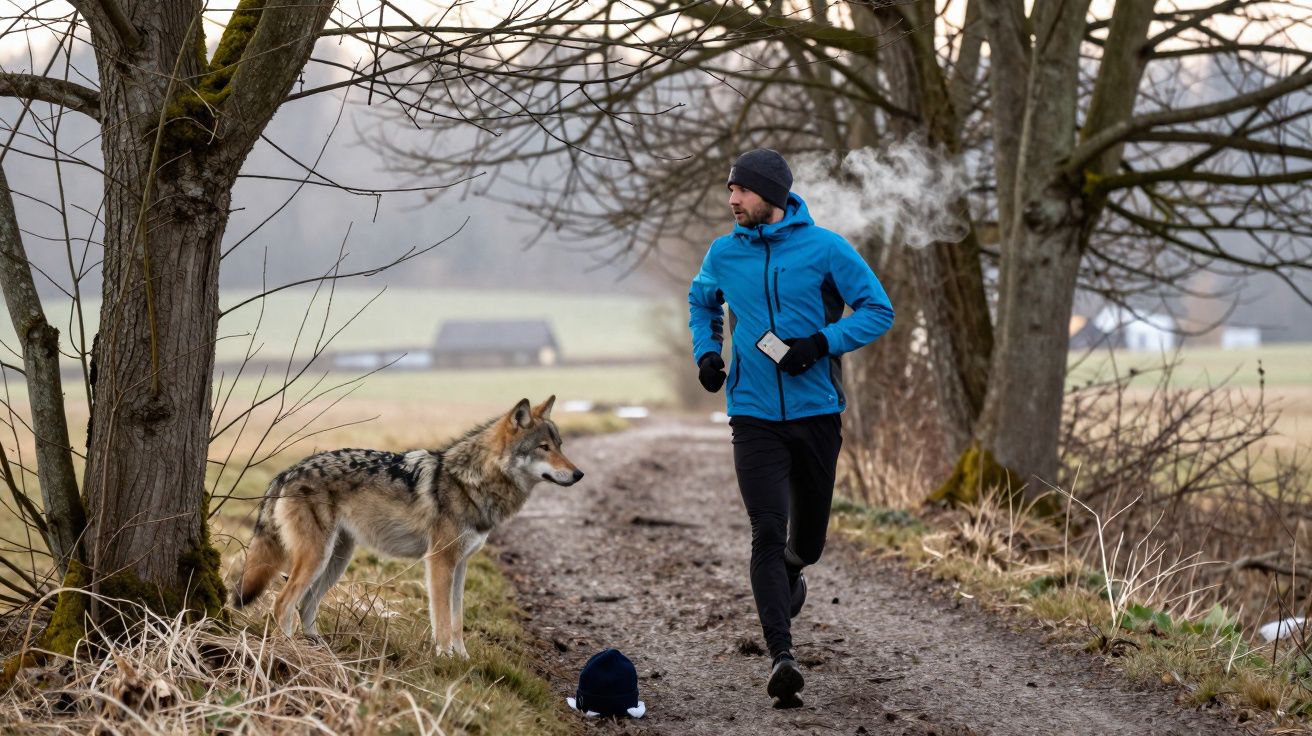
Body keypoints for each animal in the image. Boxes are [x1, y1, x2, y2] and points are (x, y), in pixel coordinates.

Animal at [229, 396, 581, 657]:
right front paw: (444, 659)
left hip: (336, 560)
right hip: (317, 558)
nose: (579, 475)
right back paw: (293, 652)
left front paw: (463, 659)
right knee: (282, 603)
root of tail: (288, 471)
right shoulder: (439, 561)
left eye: (560, 445)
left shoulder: (461, 565)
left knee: (305, 604)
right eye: (544, 448)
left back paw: (319, 650)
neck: (471, 482)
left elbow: (457, 619)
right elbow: (442, 619)